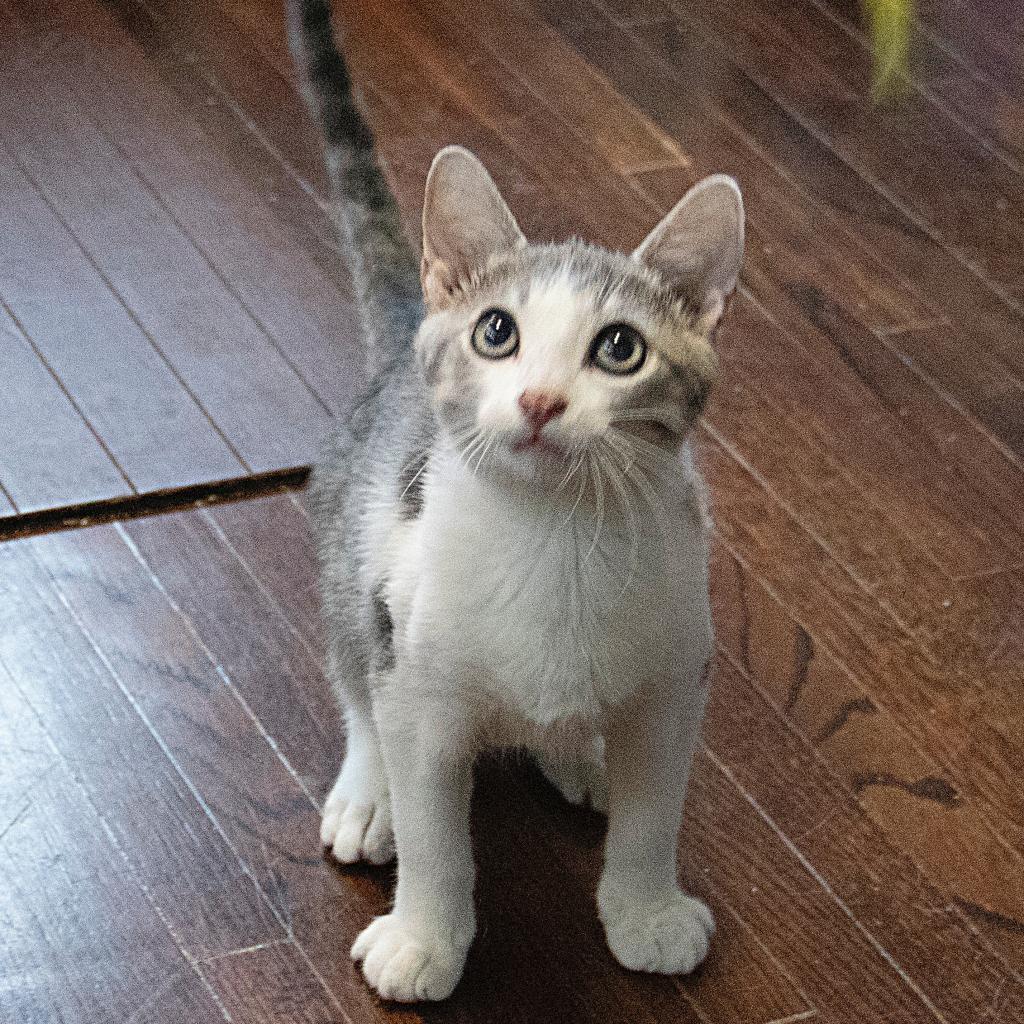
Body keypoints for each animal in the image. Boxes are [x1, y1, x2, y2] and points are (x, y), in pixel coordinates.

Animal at [288, 0, 745, 1003]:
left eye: (620, 349)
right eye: (497, 332)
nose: (539, 401)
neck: (556, 538)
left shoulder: (677, 677)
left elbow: (656, 814)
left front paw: (646, 910)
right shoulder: (422, 690)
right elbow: (434, 828)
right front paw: (423, 938)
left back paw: (581, 753)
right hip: (352, 553)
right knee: (356, 677)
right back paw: (369, 793)